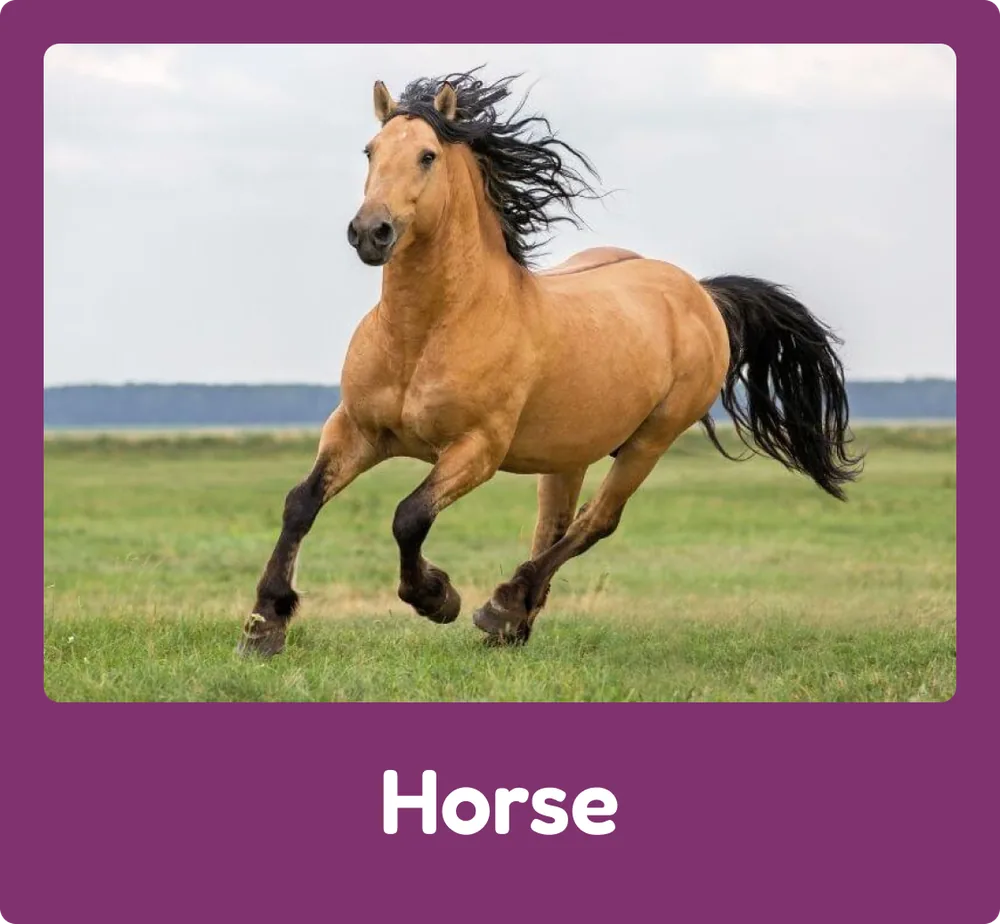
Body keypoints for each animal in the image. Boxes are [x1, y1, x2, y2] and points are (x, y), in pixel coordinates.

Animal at [238, 69, 862, 657]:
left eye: (427, 155)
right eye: (370, 151)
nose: (371, 232)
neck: (427, 332)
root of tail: (700, 293)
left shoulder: (476, 450)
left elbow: (408, 516)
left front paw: (438, 597)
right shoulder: (357, 430)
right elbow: (301, 504)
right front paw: (265, 624)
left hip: (650, 440)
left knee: (595, 523)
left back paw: (501, 607)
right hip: (569, 453)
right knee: (554, 526)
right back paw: (514, 622)